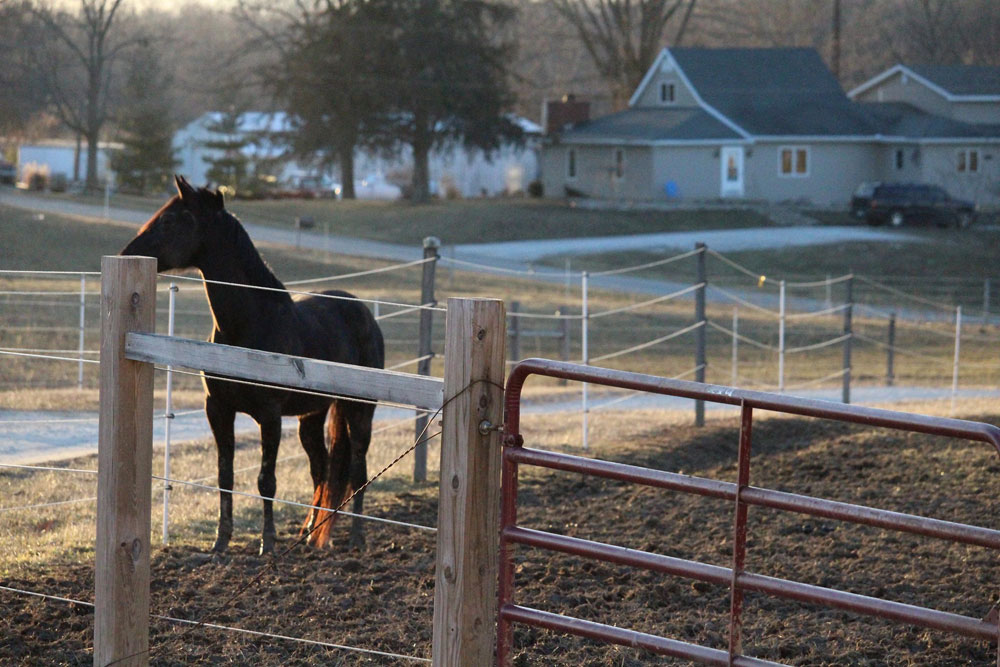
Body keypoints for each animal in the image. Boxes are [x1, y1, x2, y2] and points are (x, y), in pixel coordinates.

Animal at [118, 175, 382, 556]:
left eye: (169, 220)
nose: (126, 254)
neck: (248, 327)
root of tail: (365, 313)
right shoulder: (218, 410)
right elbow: (224, 476)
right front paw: (220, 542)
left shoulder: (269, 416)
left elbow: (265, 480)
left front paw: (266, 543)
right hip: (311, 417)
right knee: (321, 470)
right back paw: (309, 533)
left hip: (359, 410)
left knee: (358, 468)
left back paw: (357, 537)